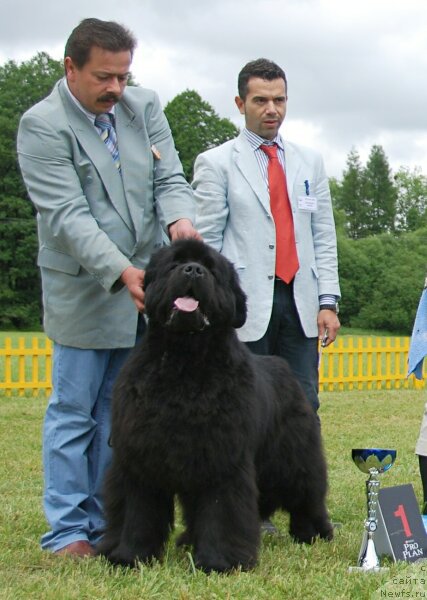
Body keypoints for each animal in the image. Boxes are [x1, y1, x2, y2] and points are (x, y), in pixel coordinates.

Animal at [99, 238, 334, 572]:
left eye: (211, 269)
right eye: (174, 264)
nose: (193, 270)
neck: (184, 361)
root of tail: (282, 366)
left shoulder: (222, 457)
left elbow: (221, 510)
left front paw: (219, 561)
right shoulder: (139, 456)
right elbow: (136, 510)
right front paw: (129, 555)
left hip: (292, 456)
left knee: (306, 491)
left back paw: (313, 532)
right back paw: (188, 541)